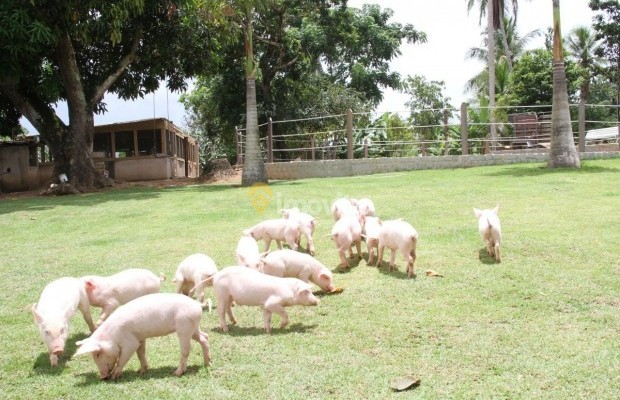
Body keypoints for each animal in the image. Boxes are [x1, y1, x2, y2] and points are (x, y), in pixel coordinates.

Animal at [73, 292, 211, 380]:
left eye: (97, 354)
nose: (101, 377)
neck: (112, 336)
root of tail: (197, 304)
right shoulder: (139, 338)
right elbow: (141, 353)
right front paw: (142, 372)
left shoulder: (130, 342)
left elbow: (123, 358)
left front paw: (114, 377)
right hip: (193, 327)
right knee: (205, 337)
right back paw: (208, 363)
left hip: (184, 327)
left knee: (186, 350)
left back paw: (176, 373)